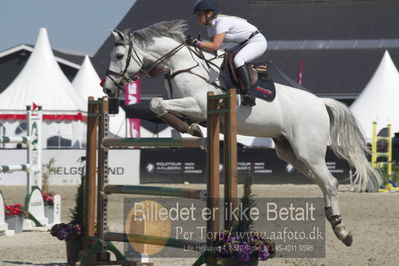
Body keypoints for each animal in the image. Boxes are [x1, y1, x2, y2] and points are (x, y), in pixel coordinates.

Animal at [102, 19, 382, 246]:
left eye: (119, 55)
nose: (107, 90)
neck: (181, 66)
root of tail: (320, 103)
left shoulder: (201, 105)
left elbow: (156, 104)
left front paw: (189, 128)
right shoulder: (186, 105)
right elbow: (158, 106)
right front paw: (189, 128)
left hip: (308, 151)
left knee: (331, 183)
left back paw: (342, 231)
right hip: (289, 152)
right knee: (323, 182)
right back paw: (335, 223)